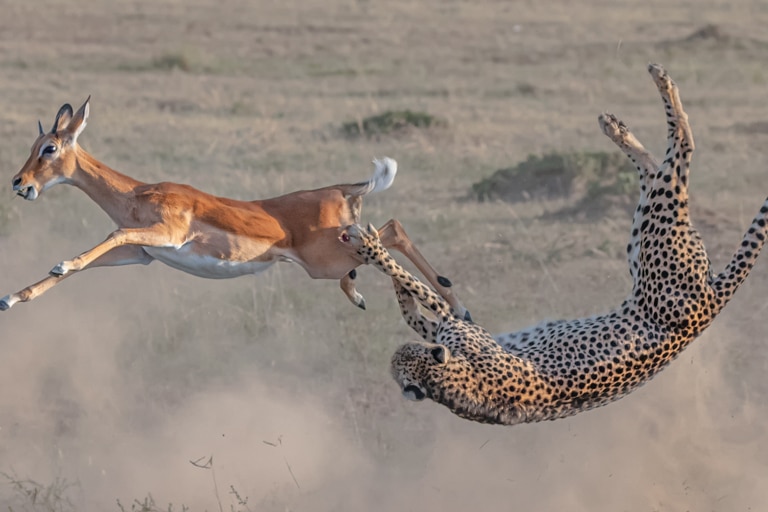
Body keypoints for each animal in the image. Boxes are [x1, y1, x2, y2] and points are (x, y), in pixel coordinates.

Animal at [3, 97, 468, 318]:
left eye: (49, 148)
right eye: (33, 144)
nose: (19, 183)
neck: (139, 194)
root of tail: (341, 189)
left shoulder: (164, 235)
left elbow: (101, 241)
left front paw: (60, 263)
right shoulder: (141, 254)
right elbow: (78, 268)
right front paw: (11, 297)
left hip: (327, 256)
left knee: (391, 231)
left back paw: (450, 306)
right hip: (338, 251)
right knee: (382, 237)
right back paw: (371, 297)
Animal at [340, 63, 768, 424]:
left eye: (402, 358)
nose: (395, 355)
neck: (454, 387)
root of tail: (711, 303)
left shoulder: (458, 329)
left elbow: (422, 292)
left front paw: (372, 248)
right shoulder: (452, 330)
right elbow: (417, 307)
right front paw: (380, 261)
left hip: (656, 234)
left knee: (680, 149)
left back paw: (651, 91)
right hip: (648, 233)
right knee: (663, 167)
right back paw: (621, 122)